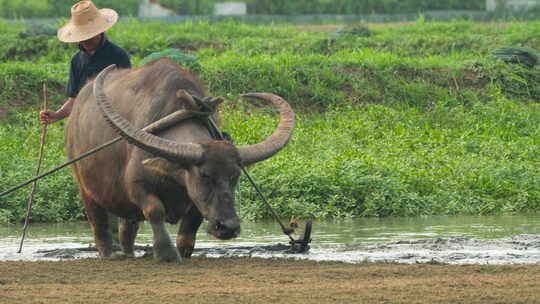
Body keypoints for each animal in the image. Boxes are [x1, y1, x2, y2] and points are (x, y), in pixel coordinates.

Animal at [68, 58, 298, 262]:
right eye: (205, 175)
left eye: (235, 176)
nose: (229, 227)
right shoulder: (136, 185)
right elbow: (155, 210)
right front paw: (166, 253)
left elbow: (190, 227)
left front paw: (182, 251)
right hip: (84, 184)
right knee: (98, 220)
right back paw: (110, 253)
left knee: (127, 227)